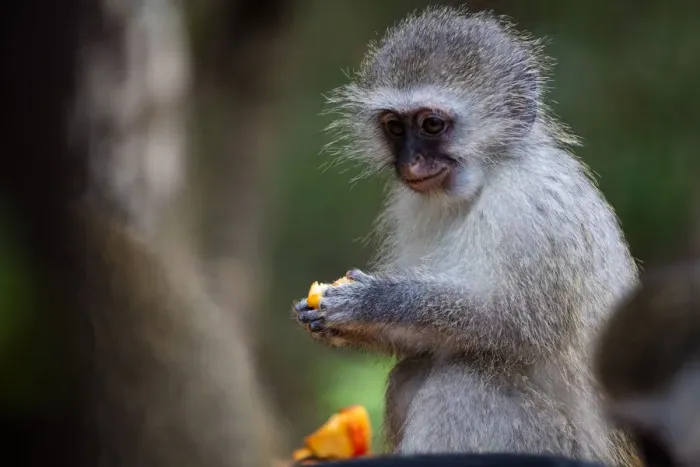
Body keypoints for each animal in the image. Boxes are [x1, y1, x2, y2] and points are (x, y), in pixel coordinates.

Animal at [294, 6, 640, 466]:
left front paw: (373, 302)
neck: (482, 181)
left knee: (464, 381)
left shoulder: (532, 206)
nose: (410, 164)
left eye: (432, 124)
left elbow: (510, 321)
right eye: (394, 127)